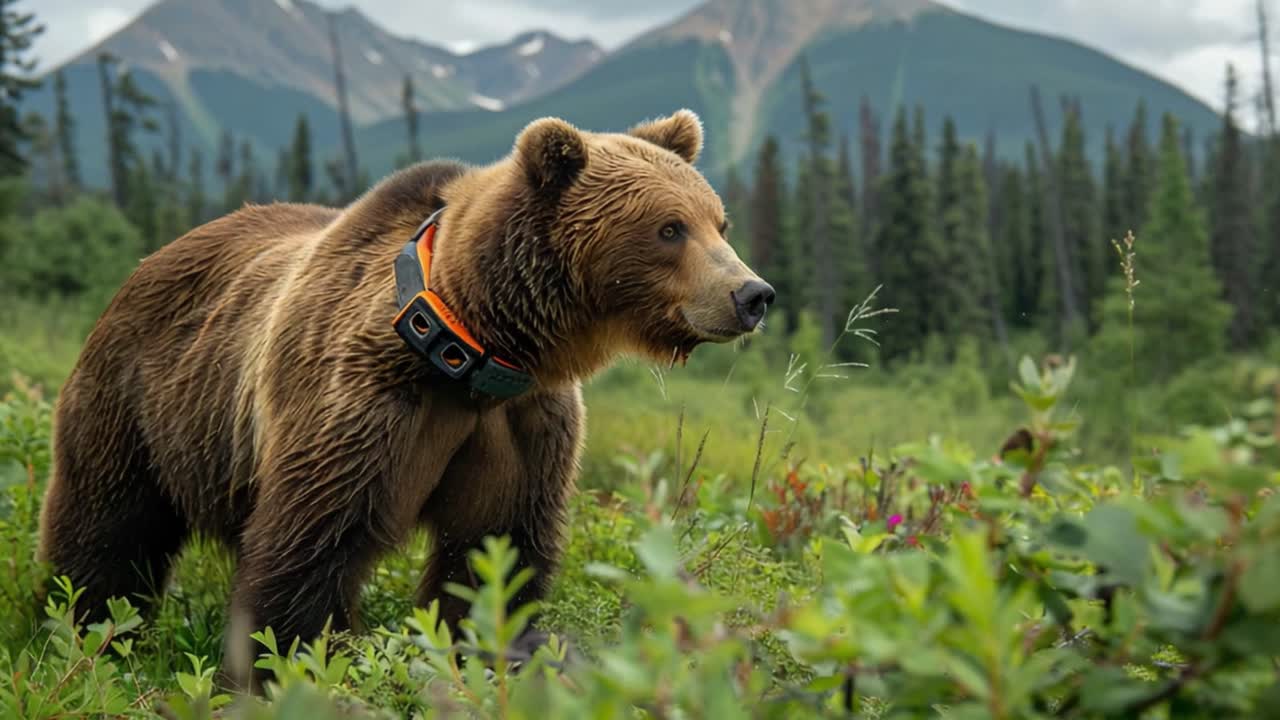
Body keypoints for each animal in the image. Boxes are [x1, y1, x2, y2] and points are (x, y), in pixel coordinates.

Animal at [36, 109, 774, 691]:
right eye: (669, 228)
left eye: (721, 221)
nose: (753, 294)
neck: (474, 350)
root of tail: (149, 259)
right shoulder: (362, 404)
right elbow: (309, 544)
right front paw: (276, 672)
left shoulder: (522, 424)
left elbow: (495, 554)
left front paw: (484, 659)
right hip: (137, 401)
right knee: (107, 529)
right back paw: (86, 633)